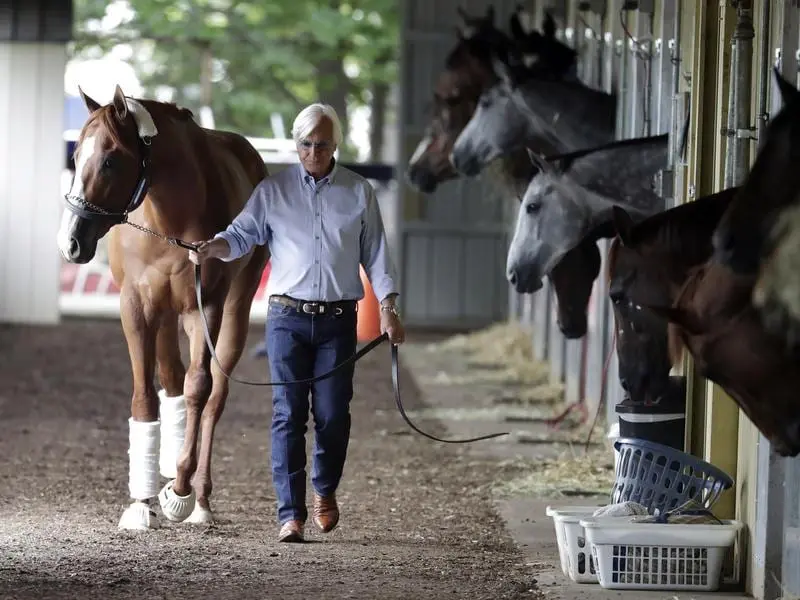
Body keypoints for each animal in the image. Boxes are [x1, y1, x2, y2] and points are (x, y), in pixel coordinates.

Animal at [56, 85, 270, 528]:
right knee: (171, 380)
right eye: (76, 155)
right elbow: (145, 396)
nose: (70, 243)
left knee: (213, 394)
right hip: (167, 317)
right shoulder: (136, 307)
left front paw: (181, 489)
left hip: (231, 313)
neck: (169, 221)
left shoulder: (205, 309)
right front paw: (140, 503)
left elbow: (199, 388)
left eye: (109, 160)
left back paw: (199, 498)